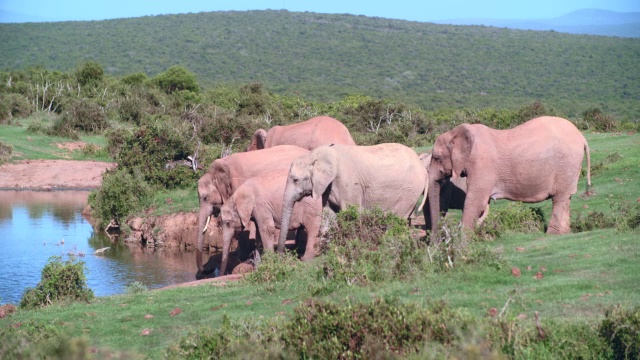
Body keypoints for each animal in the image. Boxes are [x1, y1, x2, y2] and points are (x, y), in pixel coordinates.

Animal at [278, 143, 428, 253]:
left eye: (296, 180)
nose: (280, 254)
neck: (315, 155)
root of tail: (422, 166)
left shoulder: (348, 183)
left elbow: (349, 213)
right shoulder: (328, 186)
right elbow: (328, 215)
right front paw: (324, 252)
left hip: (409, 190)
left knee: (398, 219)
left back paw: (390, 247)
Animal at [428, 115, 592, 238]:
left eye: (436, 158)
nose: (434, 241)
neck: (456, 132)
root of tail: (582, 138)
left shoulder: (482, 165)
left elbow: (474, 202)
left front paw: (463, 243)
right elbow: (482, 204)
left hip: (567, 163)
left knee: (559, 199)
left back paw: (552, 235)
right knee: (565, 198)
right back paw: (564, 233)